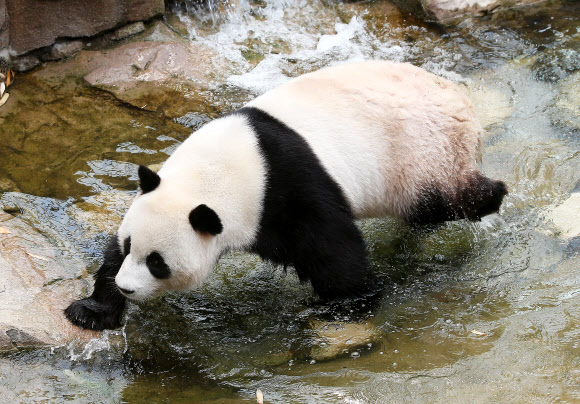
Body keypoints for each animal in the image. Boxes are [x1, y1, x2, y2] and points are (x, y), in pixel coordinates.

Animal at [65, 60, 506, 332]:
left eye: (158, 263)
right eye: (131, 247)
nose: (127, 287)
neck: (222, 171)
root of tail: (465, 104)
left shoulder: (291, 189)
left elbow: (334, 252)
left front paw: (345, 306)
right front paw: (91, 310)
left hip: (425, 154)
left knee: (446, 200)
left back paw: (491, 196)